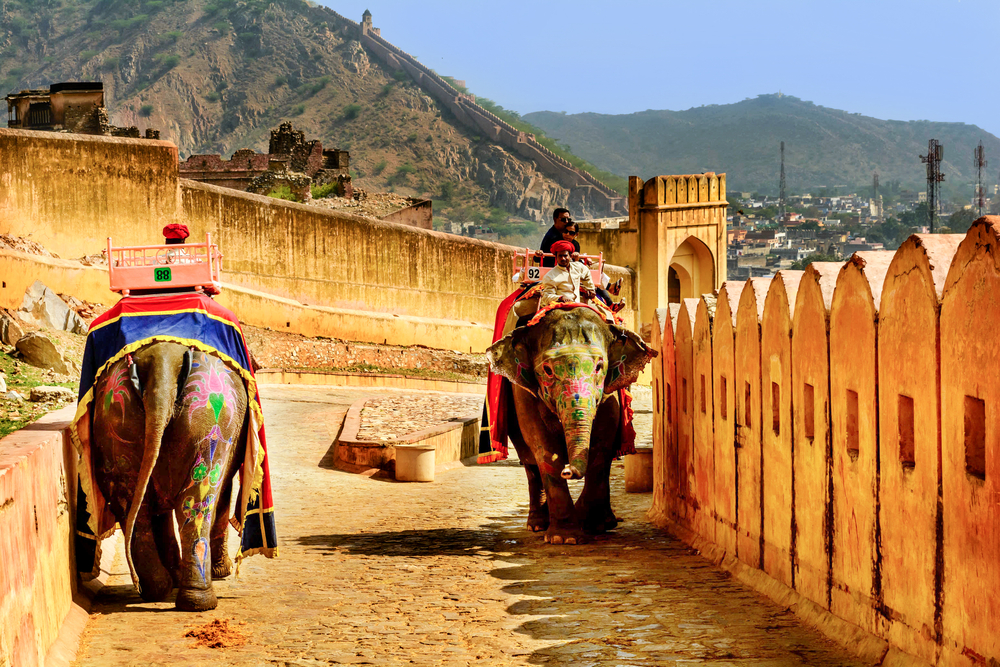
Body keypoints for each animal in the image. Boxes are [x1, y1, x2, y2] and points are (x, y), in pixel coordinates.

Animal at [486, 306, 656, 544]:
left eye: (599, 366)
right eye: (547, 370)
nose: (567, 471)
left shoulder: (609, 392)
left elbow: (603, 439)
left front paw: (592, 526)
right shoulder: (523, 392)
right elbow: (543, 446)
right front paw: (564, 538)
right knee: (529, 461)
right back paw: (537, 524)